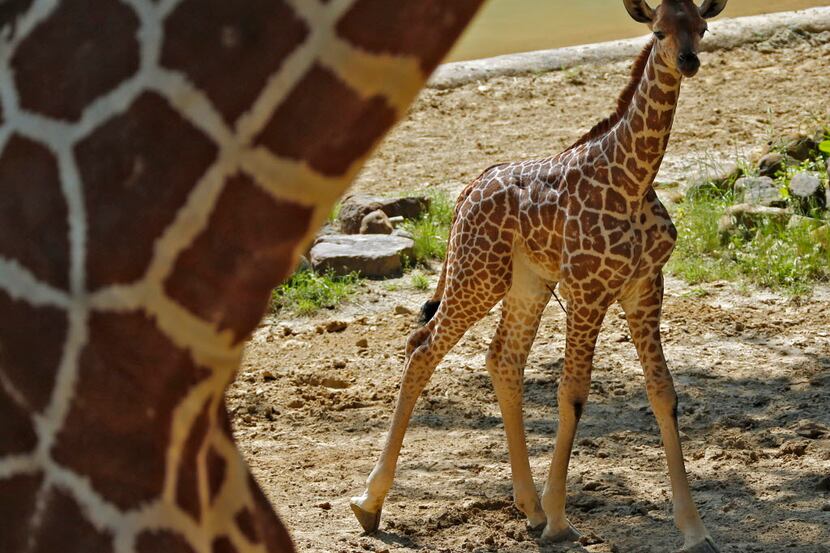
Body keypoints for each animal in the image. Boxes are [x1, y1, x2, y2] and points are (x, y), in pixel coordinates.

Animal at [354, 1, 732, 552]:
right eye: (658, 31)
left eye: (701, 28)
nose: (688, 61)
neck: (633, 181)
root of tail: (465, 193)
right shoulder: (587, 290)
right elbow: (572, 393)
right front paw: (559, 519)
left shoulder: (644, 287)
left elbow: (664, 393)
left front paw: (695, 530)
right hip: (478, 273)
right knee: (422, 345)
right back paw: (370, 503)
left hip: (526, 282)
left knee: (502, 358)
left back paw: (527, 508)